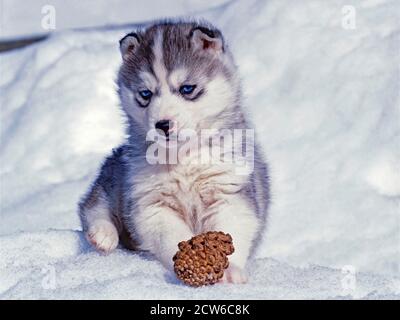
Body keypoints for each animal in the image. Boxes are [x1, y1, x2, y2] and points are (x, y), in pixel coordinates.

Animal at [79, 19, 268, 282]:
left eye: (187, 88)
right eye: (145, 94)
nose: (162, 124)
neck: (184, 158)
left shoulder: (230, 192)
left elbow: (232, 227)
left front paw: (230, 272)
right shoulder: (152, 204)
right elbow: (173, 237)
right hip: (114, 179)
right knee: (93, 206)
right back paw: (103, 234)